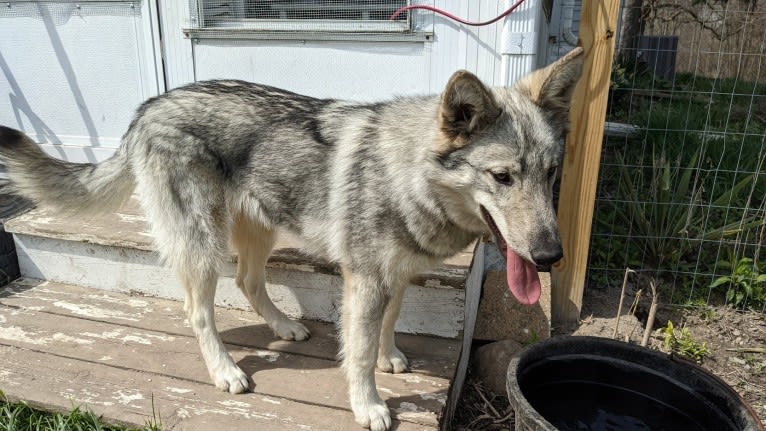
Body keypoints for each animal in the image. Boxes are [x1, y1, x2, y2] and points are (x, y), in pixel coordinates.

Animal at [0, 46, 584, 428]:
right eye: (502, 177)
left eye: (551, 173)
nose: (551, 256)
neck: (408, 171)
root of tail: (147, 108)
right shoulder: (366, 281)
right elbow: (358, 349)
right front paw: (369, 405)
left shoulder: (395, 276)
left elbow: (388, 325)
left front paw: (390, 358)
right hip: (204, 248)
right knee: (198, 312)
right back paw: (226, 372)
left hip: (258, 233)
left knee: (249, 282)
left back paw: (285, 326)